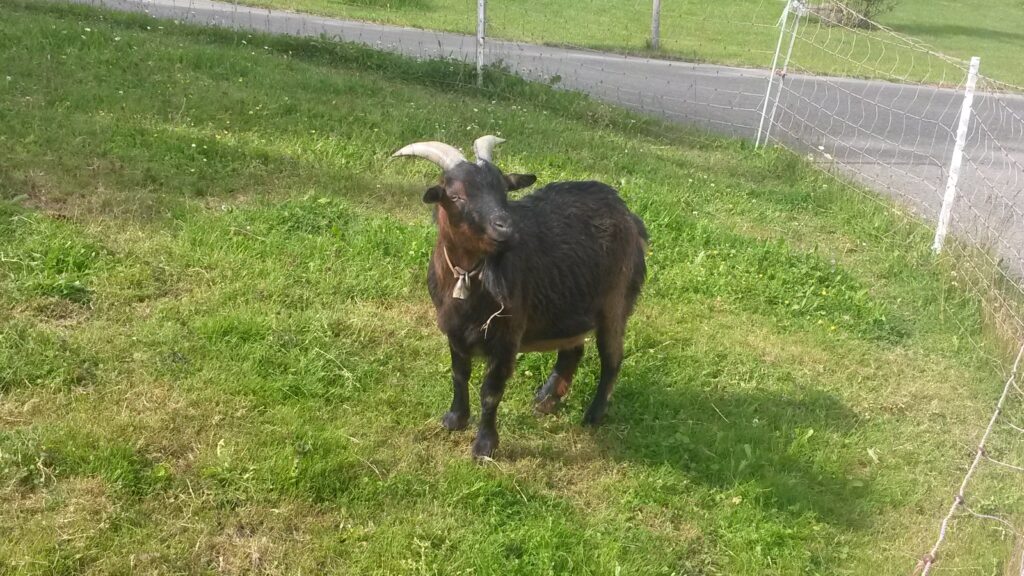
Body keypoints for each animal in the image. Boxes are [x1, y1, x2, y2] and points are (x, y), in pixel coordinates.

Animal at [393, 136, 647, 458]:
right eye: (456, 196)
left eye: (503, 191)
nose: (506, 228)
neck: (468, 278)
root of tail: (628, 214)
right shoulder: (453, 330)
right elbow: (459, 374)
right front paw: (454, 420)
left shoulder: (507, 334)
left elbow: (491, 391)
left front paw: (484, 446)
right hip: (569, 307)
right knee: (573, 350)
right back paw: (546, 401)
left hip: (616, 302)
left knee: (612, 359)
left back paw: (593, 415)